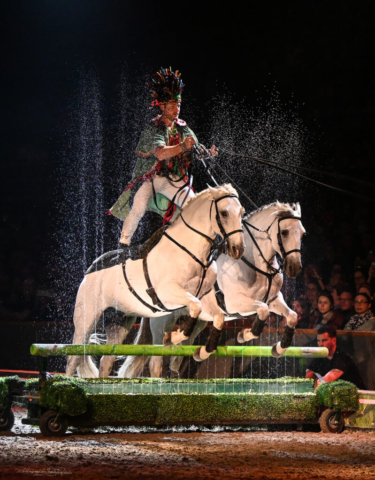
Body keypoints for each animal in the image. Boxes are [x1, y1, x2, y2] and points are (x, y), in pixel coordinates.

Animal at [66, 183, 245, 376]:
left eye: (241, 212)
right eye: (224, 213)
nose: (238, 249)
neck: (191, 250)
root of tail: (90, 269)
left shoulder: (205, 295)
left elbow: (218, 316)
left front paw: (203, 351)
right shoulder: (167, 293)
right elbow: (195, 307)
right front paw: (174, 337)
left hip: (119, 321)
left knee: (106, 361)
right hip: (87, 318)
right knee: (73, 357)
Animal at [119, 201, 306, 376]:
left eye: (303, 233)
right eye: (285, 232)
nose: (295, 268)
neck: (256, 265)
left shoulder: (274, 299)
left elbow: (291, 316)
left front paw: (278, 348)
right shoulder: (235, 302)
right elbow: (263, 310)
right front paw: (244, 335)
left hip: (196, 324)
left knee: (177, 357)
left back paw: (194, 354)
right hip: (162, 323)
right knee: (156, 361)